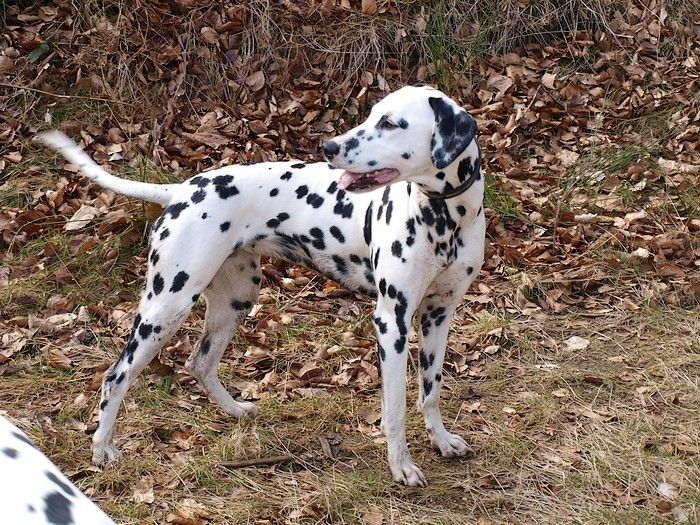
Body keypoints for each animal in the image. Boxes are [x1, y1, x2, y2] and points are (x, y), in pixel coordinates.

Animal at [37, 85, 486, 484]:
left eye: (391, 123)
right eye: (372, 115)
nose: (328, 147)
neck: (446, 217)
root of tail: (181, 190)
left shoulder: (438, 316)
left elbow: (430, 390)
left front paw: (442, 441)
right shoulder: (392, 322)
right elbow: (394, 408)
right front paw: (401, 466)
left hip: (236, 299)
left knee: (199, 362)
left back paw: (235, 411)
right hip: (167, 306)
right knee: (117, 375)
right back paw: (101, 448)